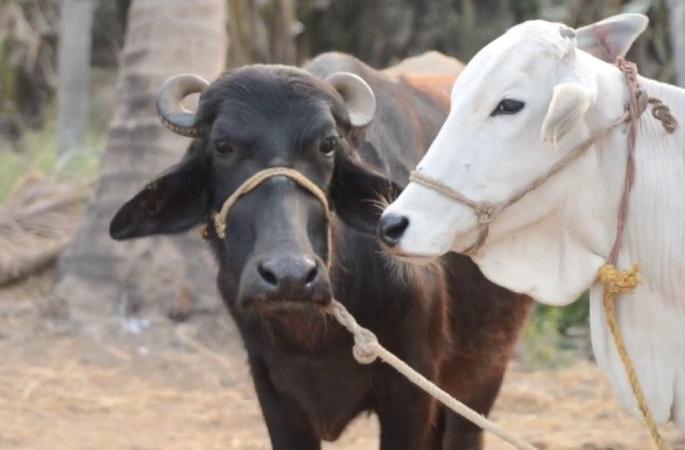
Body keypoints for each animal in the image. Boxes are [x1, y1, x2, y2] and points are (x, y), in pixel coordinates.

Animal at [109, 52, 531, 449]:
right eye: (222, 146)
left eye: (327, 145)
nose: (290, 276)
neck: (312, 339)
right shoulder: (275, 395)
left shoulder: (412, 394)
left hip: (483, 373)